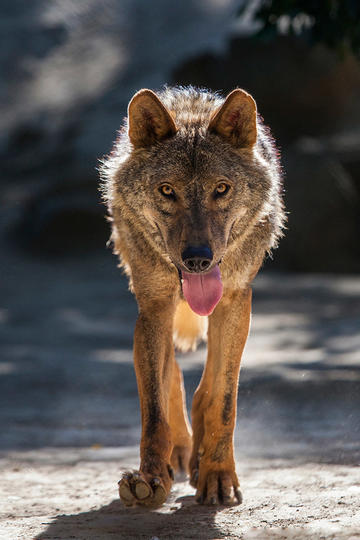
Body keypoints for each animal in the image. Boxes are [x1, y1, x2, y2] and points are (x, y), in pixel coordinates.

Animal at [100, 85, 286, 506]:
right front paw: (150, 478)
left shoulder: (234, 303)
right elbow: (154, 410)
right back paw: (180, 455)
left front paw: (218, 476)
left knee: (205, 389)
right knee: (172, 375)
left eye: (222, 189)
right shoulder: (153, 306)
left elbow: (223, 401)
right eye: (167, 191)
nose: (198, 259)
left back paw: (198, 461)